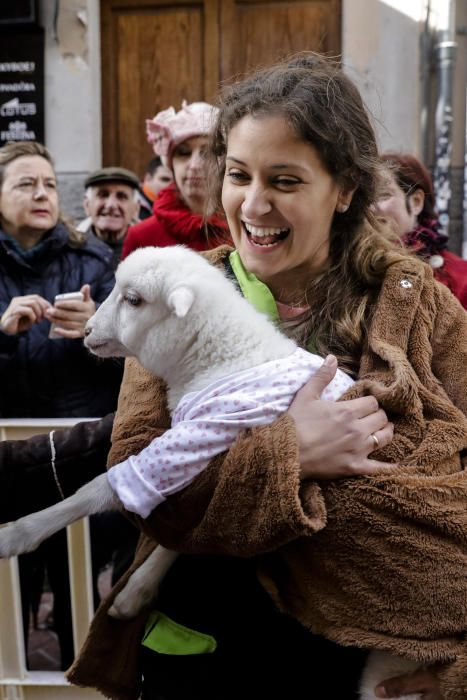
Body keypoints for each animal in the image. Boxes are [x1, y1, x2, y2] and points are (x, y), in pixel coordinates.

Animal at [0, 245, 420, 696]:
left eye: (133, 300)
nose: (88, 330)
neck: (222, 355)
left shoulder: (205, 434)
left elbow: (101, 490)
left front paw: (18, 534)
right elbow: (190, 529)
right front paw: (137, 591)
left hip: (392, 671)